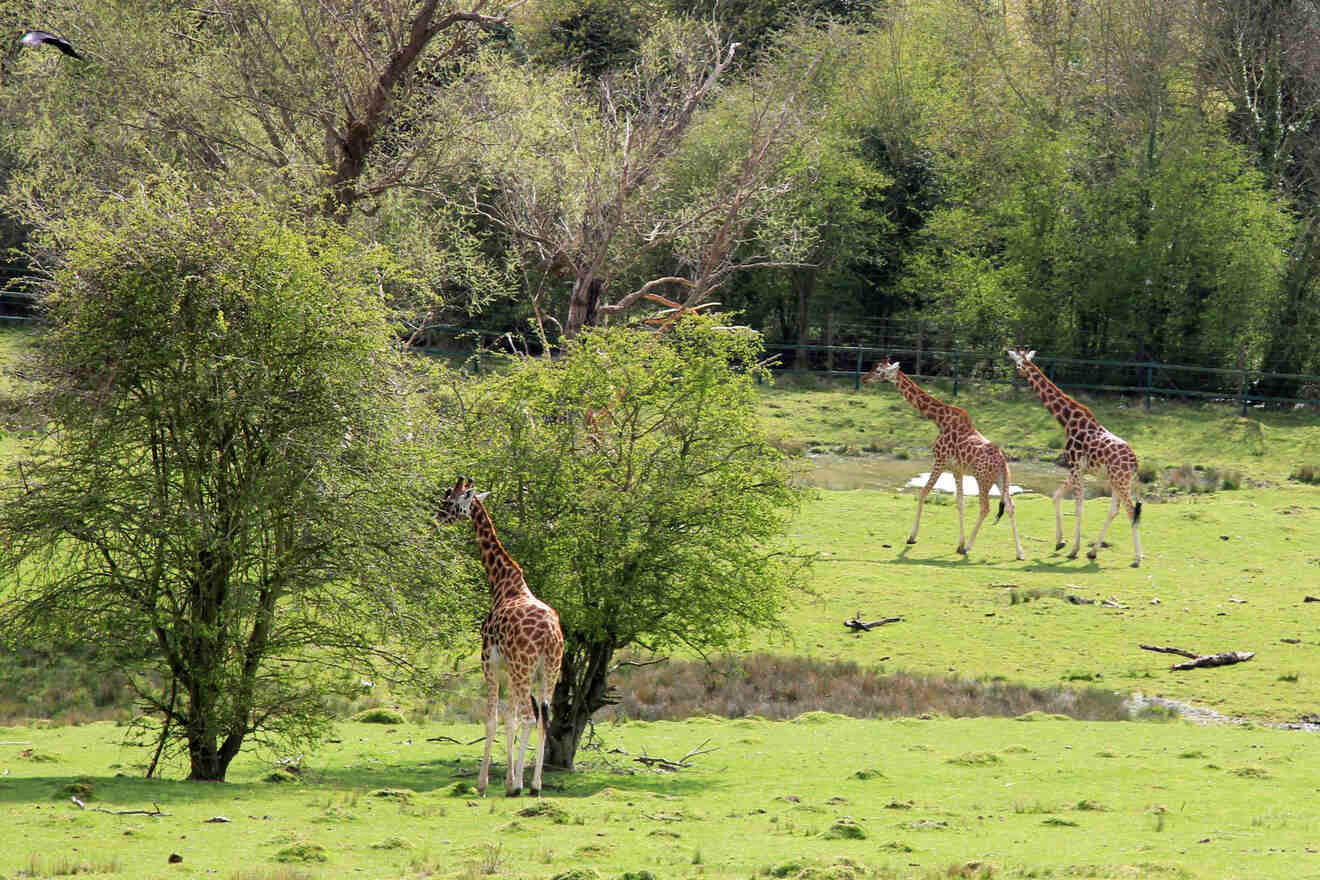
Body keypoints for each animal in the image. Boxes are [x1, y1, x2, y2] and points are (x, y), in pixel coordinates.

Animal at [435, 477, 564, 796]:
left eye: (450, 501)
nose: (438, 517)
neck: (503, 584)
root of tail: (550, 635)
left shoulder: (489, 663)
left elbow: (494, 719)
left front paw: (485, 783)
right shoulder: (509, 670)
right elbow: (510, 719)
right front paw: (509, 779)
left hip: (524, 668)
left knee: (530, 716)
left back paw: (519, 786)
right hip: (549, 670)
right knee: (543, 719)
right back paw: (535, 785)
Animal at [860, 356, 1024, 556]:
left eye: (879, 371)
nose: (864, 379)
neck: (940, 420)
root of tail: (1002, 462)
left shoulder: (939, 461)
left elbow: (923, 493)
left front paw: (912, 537)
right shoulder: (957, 469)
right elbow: (960, 502)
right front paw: (959, 543)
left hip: (982, 479)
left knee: (985, 508)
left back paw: (969, 547)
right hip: (1001, 480)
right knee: (1010, 506)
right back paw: (1020, 553)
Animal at [1003, 348, 1140, 567]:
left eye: (1017, 364)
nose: (1016, 376)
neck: (1067, 421)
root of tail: (1135, 462)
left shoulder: (1075, 466)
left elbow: (1078, 507)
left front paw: (1073, 550)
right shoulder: (1078, 469)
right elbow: (1056, 495)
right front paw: (1060, 542)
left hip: (1120, 480)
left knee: (1130, 509)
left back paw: (1137, 558)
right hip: (1116, 480)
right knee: (1115, 510)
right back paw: (1093, 552)